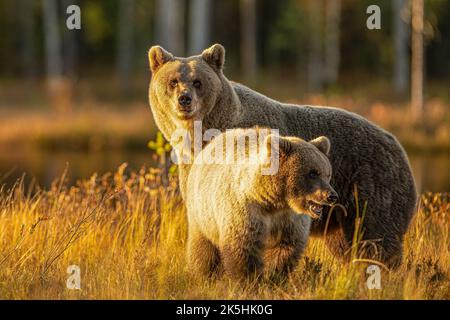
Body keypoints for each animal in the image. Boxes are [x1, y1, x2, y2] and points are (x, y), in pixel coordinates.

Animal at [185, 128, 336, 280]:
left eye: (327, 174)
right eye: (312, 173)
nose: (331, 196)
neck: (275, 201)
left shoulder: (290, 220)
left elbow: (285, 248)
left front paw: (274, 275)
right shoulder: (247, 211)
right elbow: (243, 248)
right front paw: (248, 279)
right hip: (202, 213)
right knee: (204, 248)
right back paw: (203, 274)